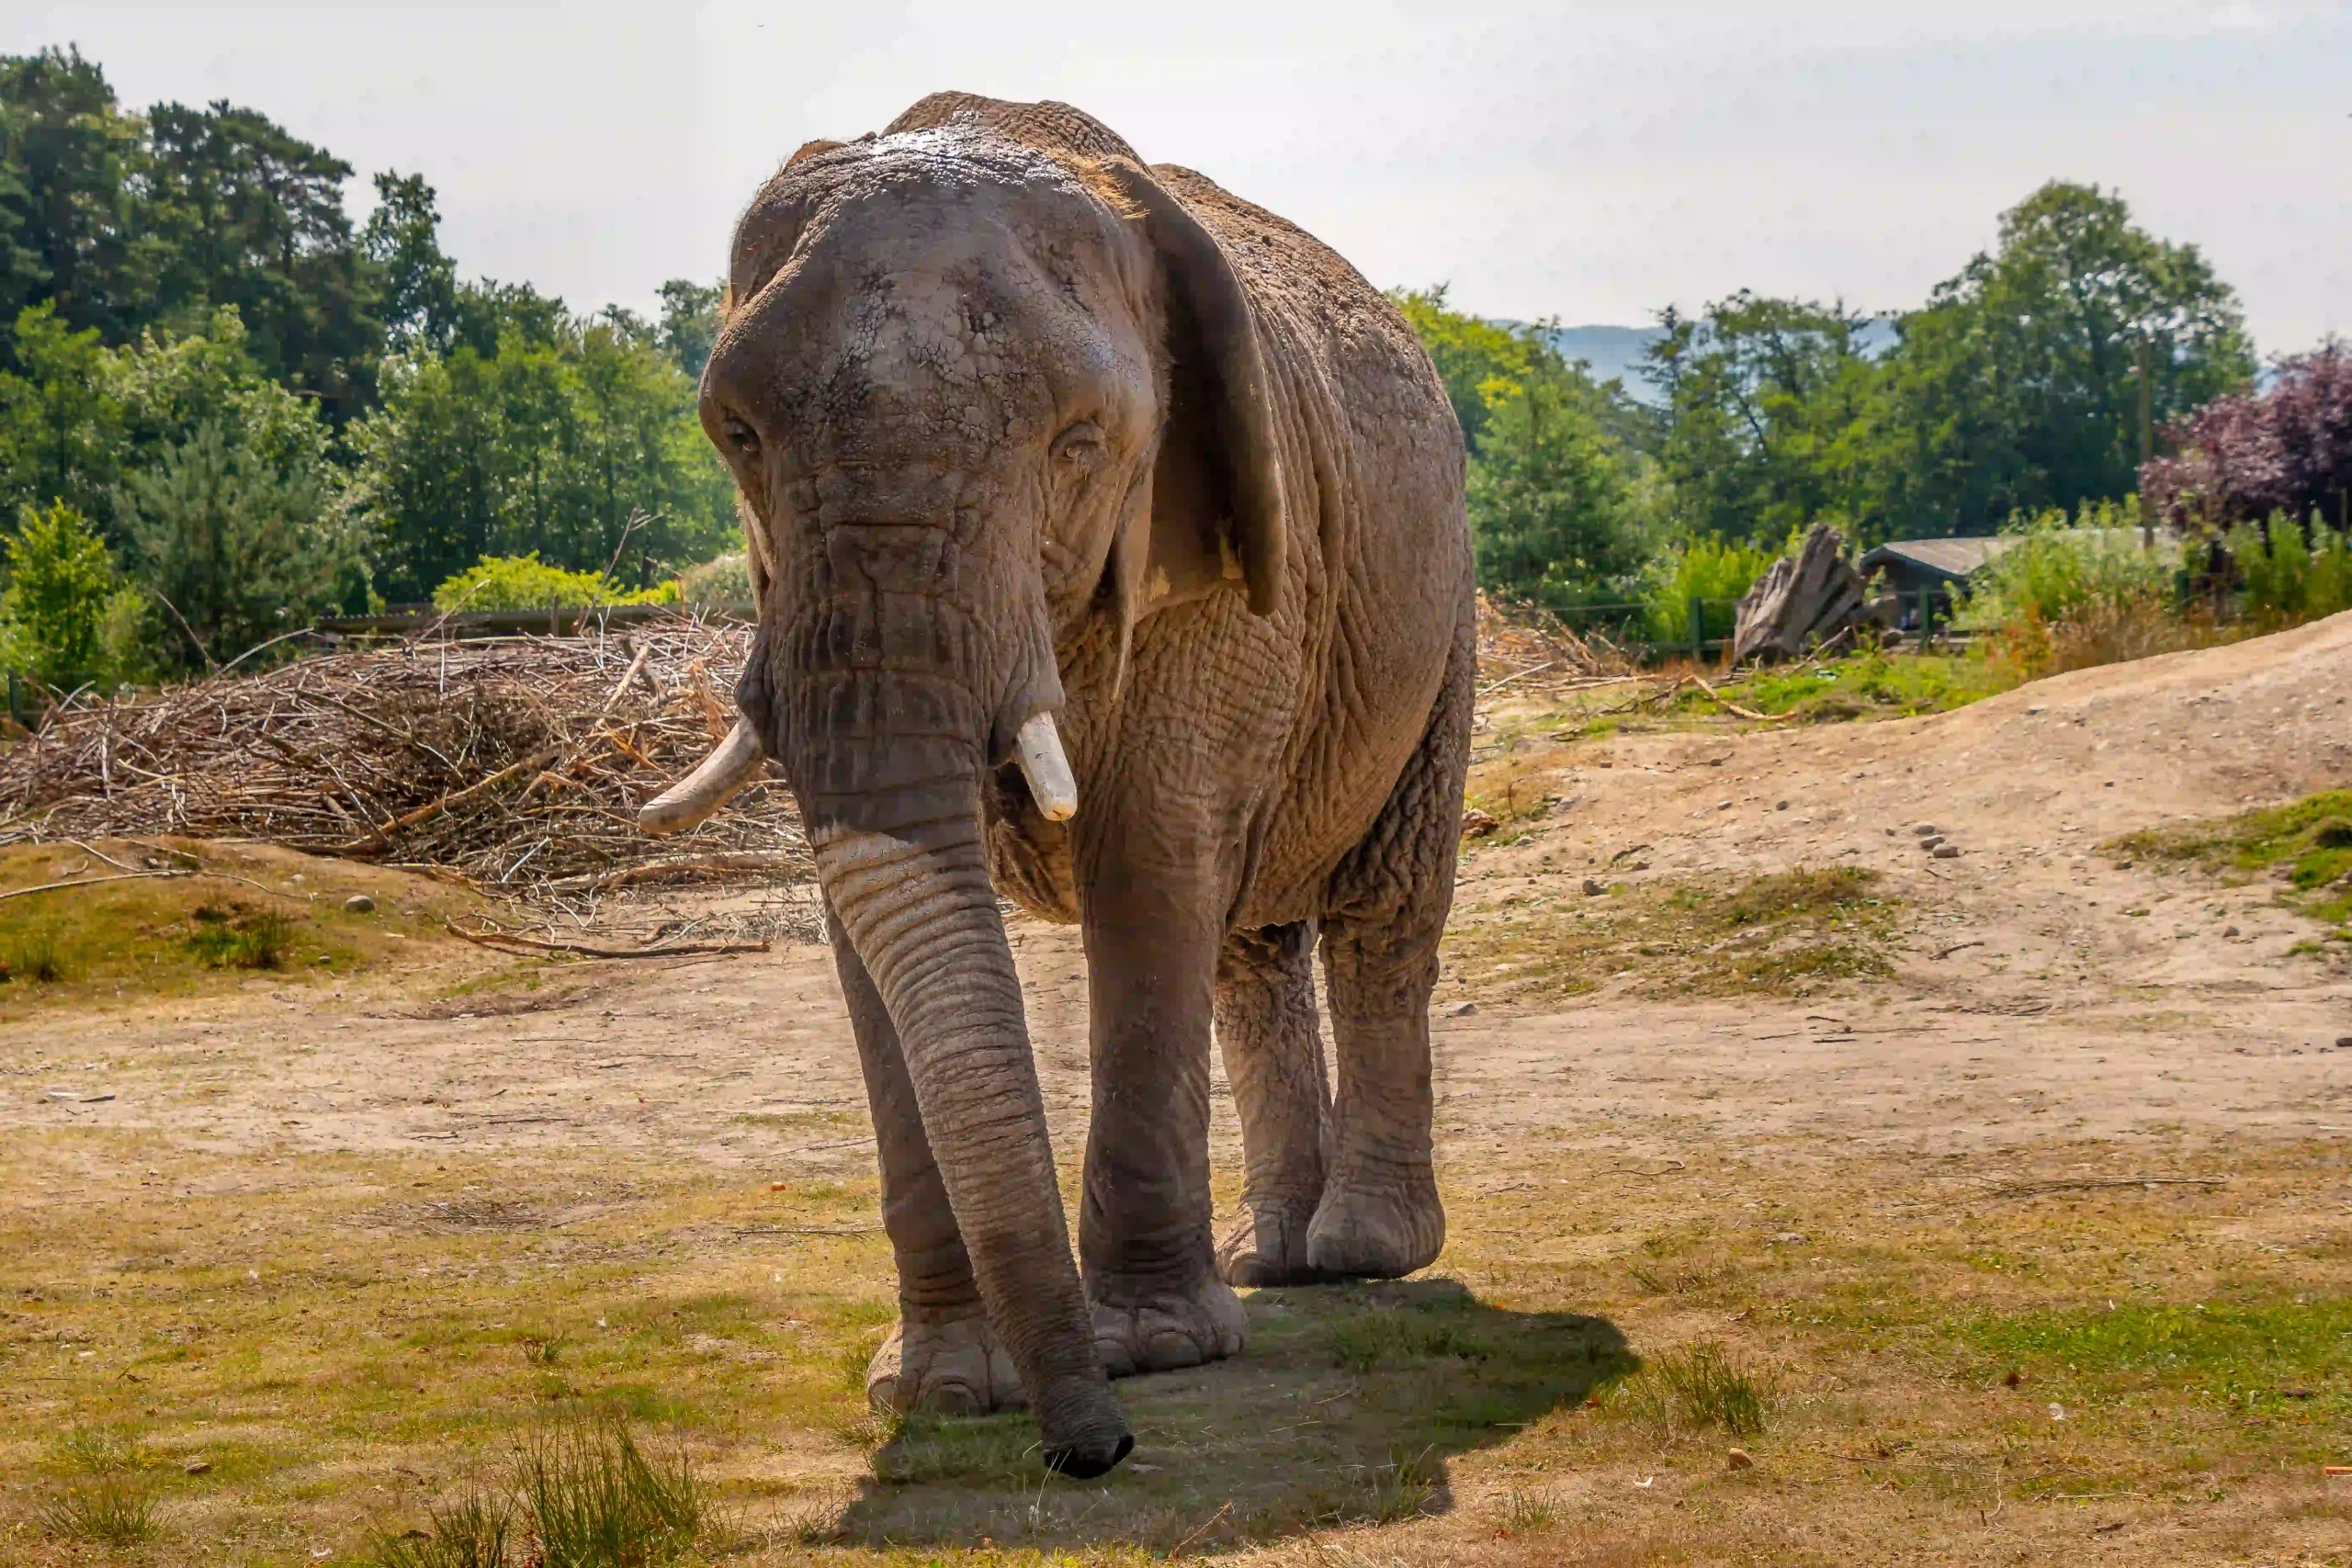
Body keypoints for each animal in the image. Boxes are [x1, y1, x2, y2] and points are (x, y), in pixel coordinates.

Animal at [640, 92, 1473, 1478]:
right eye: (738, 436)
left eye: (1080, 444)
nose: (1097, 1452)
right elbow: (870, 902)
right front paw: (940, 1388)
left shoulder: (1222, 554)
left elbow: (1148, 858)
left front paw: (1153, 1351)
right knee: (1247, 945)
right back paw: (1272, 1258)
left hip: (1439, 607)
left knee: (1378, 912)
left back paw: (1359, 1252)